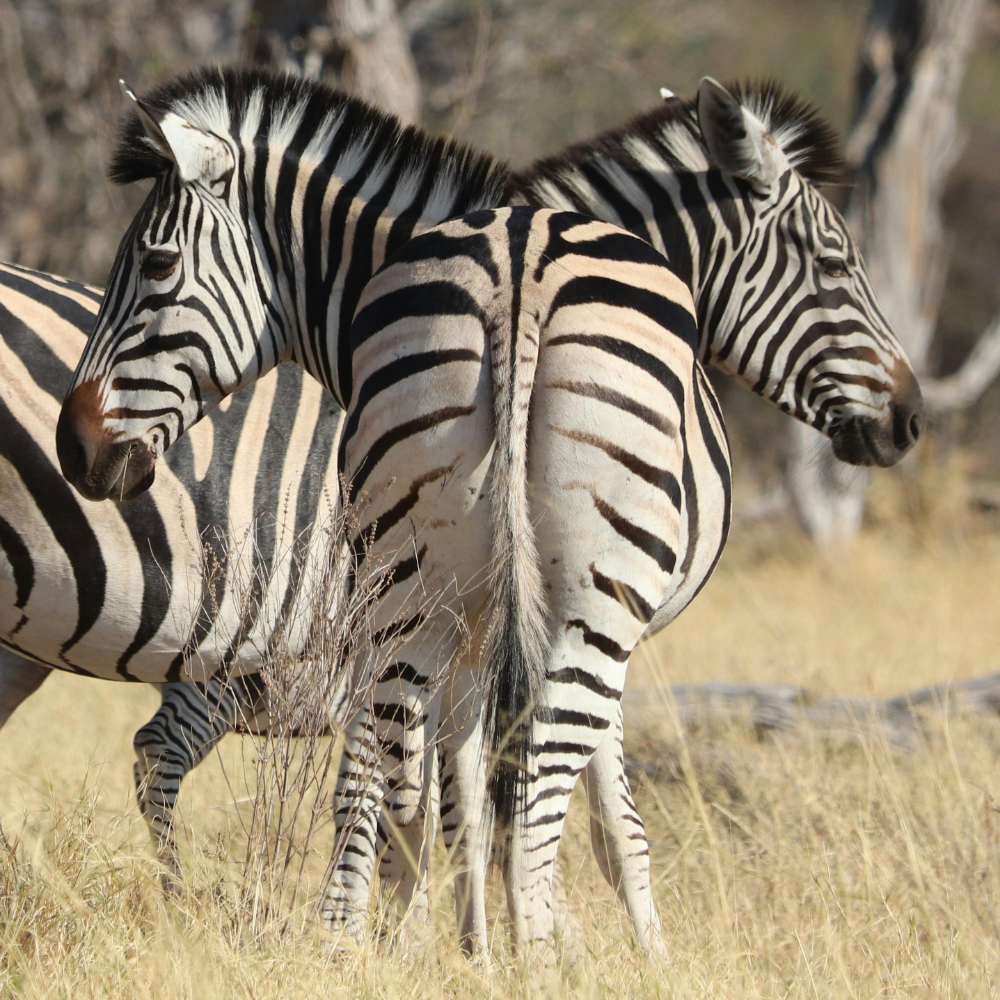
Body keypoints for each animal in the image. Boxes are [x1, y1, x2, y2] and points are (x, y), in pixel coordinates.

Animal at [55, 67, 922, 954]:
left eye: (154, 262)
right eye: (835, 261)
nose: (908, 416)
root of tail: (520, 267)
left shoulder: (463, 627)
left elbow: (454, 798)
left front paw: (457, 945)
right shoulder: (598, 627)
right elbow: (601, 821)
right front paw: (625, 950)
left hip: (413, 591)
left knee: (392, 761)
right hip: (582, 602)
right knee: (531, 782)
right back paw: (530, 951)